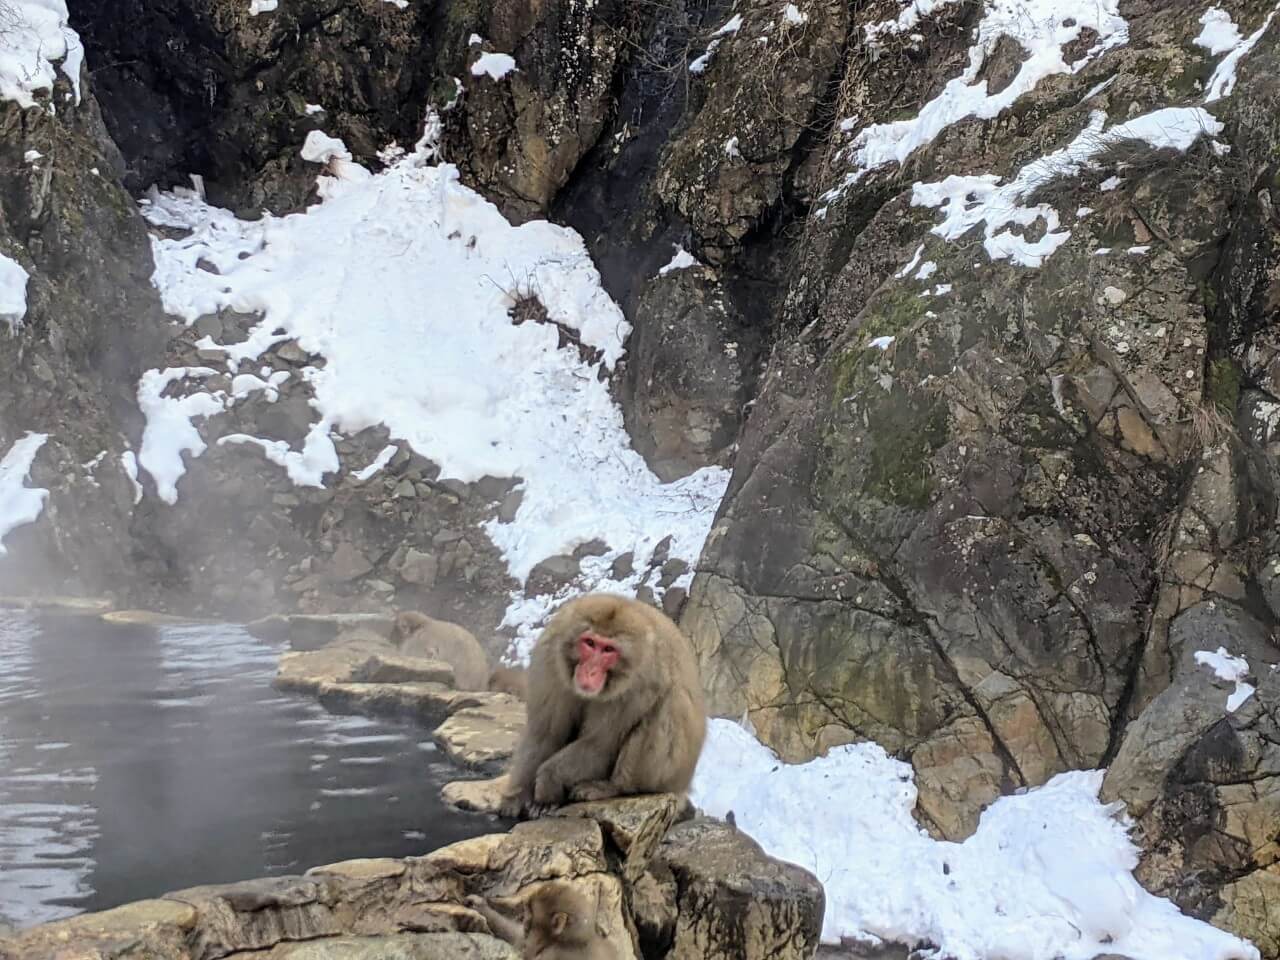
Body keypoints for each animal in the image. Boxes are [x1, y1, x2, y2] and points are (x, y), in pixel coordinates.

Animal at [465, 881, 620, 959]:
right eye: (527, 908)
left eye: (530, 910)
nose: (525, 920)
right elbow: (519, 938)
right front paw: (479, 904)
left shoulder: (552, 954)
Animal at [497, 593, 706, 818]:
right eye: (590, 643)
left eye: (608, 650)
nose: (590, 671)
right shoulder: (549, 659)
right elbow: (545, 733)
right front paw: (518, 795)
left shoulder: (639, 684)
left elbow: (602, 743)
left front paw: (547, 782)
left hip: (671, 777)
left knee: (669, 707)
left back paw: (613, 787)